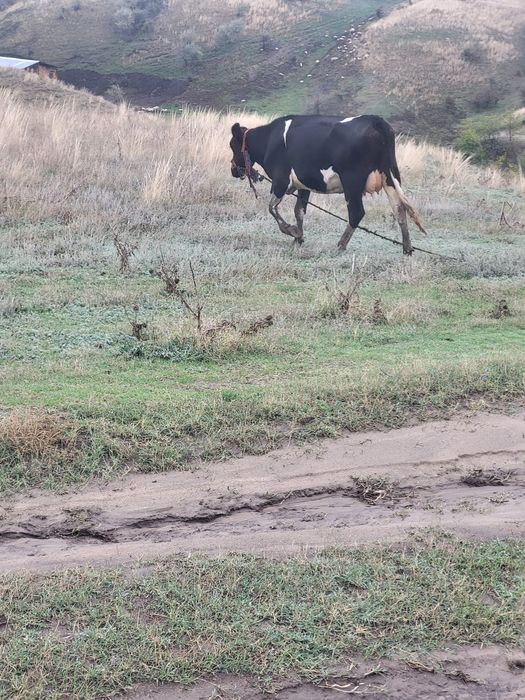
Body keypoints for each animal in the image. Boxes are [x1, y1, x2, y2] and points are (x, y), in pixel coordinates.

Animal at [229, 114, 426, 255]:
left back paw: (340, 245)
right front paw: (298, 238)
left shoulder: (280, 180)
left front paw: (292, 231)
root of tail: (375, 120)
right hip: (390, 176)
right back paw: (407, 248)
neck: (269, 140)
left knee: (356, 212)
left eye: (232, 146)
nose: (233, 170)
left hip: (352, 181)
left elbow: (271, 208)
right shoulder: (303, 184)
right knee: (399, 209)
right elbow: (299, 211)